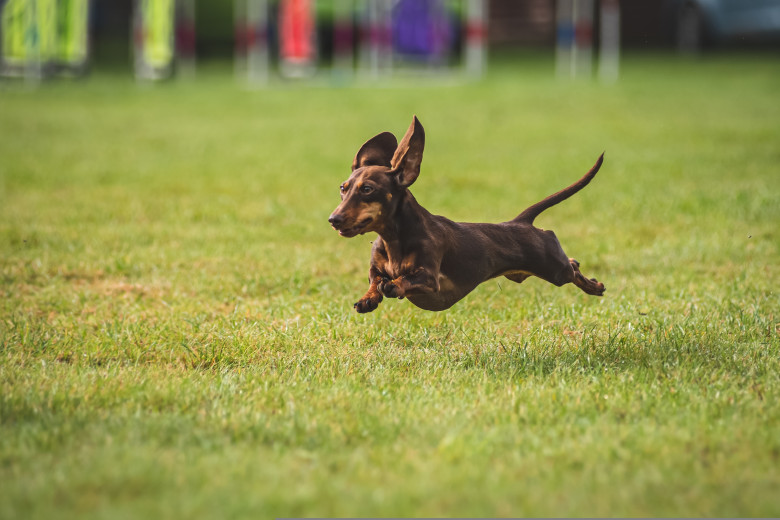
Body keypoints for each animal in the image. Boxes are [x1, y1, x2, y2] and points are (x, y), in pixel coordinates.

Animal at [326, 117, 608, 312]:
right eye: (343, 188)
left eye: (367, 189)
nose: (333, 220)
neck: (394, 239)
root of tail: (520, 222)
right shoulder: (375, 269)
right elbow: (375, 281)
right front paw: (367, 299)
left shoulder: (430, 278)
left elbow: (404, 280)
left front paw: (394, 285)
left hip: (555, 268)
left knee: (572, 266)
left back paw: (595, 286)